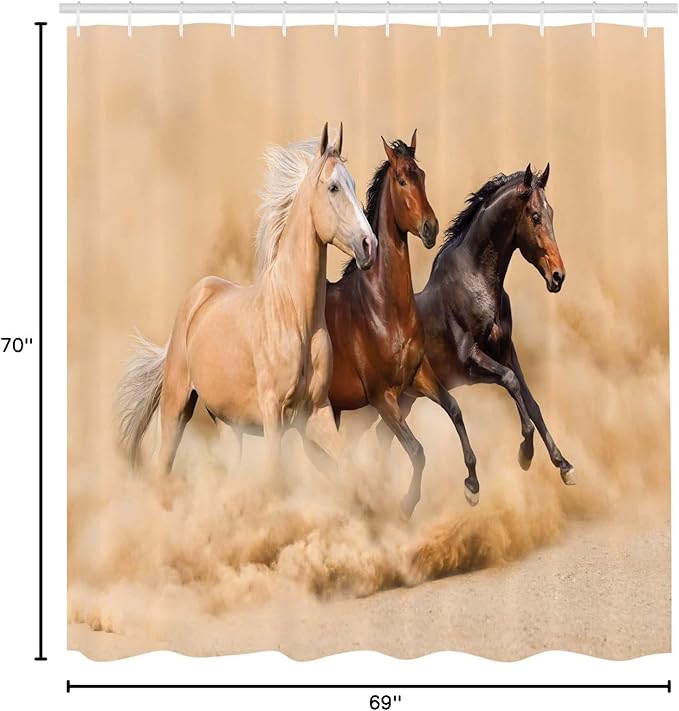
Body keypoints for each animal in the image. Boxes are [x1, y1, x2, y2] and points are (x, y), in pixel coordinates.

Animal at [116, 123, 377, 477]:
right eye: (334, 187)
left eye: (354, 184)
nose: (369, 245)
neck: (295, 317)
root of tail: (197, 298)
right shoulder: (273, 415)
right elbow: (274, 477)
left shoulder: (317, 412)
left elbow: (347, 467)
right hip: (175, 407)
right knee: (162, 465)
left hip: (228, 424)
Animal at [325, 132, 479, 519]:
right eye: (401, 180)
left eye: (421, 175)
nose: (430, 227)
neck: (383, 309)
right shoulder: (383, 397)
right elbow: (417, 450)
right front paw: (406, 505)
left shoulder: (418, 376)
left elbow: (454, 410)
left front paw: (472, 485)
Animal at [377, 163, 574, 501]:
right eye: (535, 216)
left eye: (552, 212)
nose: (558, 276)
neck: (476, 282)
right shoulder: (471, 361)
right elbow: (512, 384)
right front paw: (524, 454)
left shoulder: (506, 351)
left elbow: (531, 402)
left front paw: (563, 465)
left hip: (405, 399)